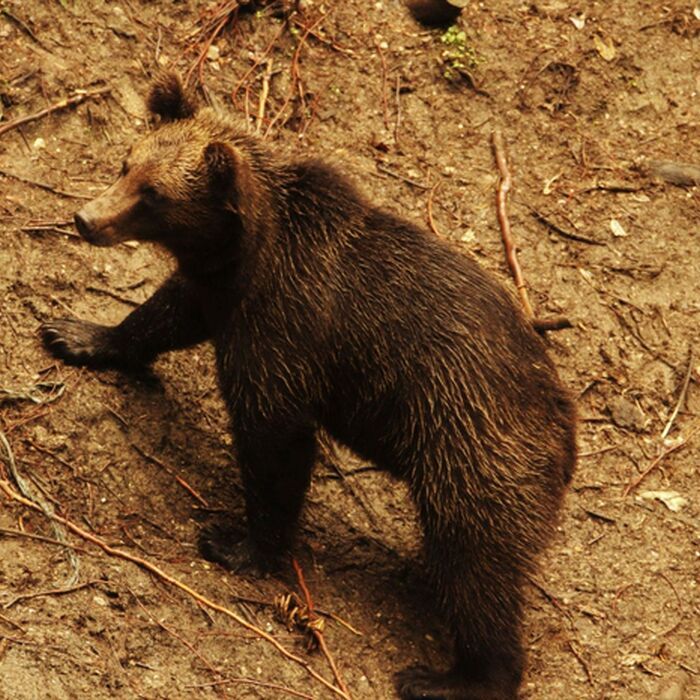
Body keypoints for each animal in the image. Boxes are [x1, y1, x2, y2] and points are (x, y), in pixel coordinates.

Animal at [45, 72, 580, 700]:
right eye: (127, 164)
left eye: (153, 194)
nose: (85, 218)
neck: (251, 252)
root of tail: (565, 425)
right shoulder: (221, 293)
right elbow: (163, 314)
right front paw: (78, 334)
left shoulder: (284, 338)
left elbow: (276, 445)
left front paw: (237, 543)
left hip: (470, 447)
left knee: (477, 569)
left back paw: (448, 677)